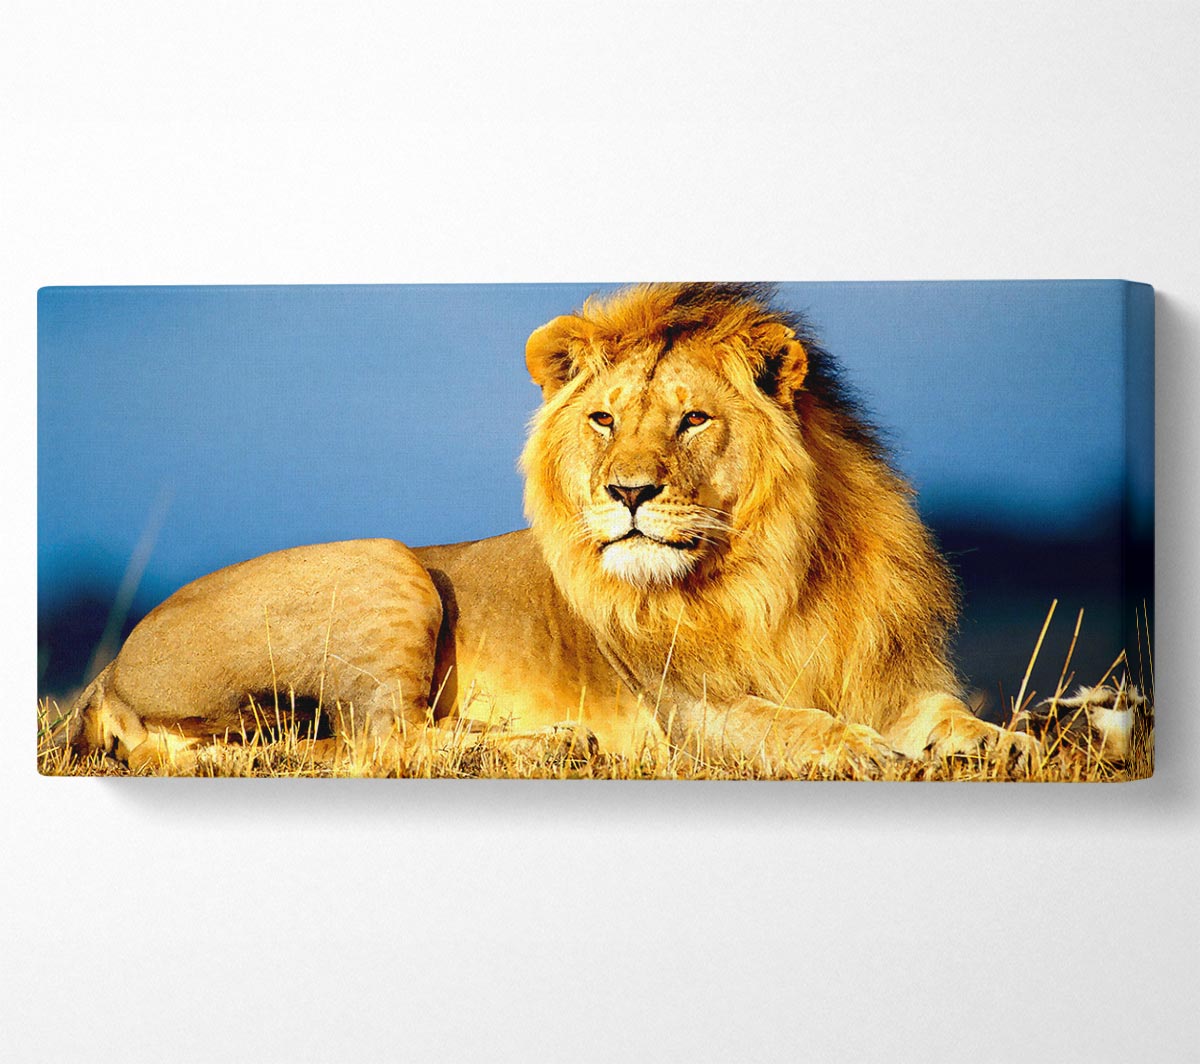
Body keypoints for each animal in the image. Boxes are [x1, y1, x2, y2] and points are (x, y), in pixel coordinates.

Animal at [66, 282, 1036, 775]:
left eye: (692, 420)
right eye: (605, 419)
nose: (629, 492)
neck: (776, 572)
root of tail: (110, 672)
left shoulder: (887, 673)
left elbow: (953, 716)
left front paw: (1011, 743)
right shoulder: (690, 711)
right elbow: (797, 728)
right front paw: (872, 755)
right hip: (388, 566)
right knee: (380, 741)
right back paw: (555, 741)